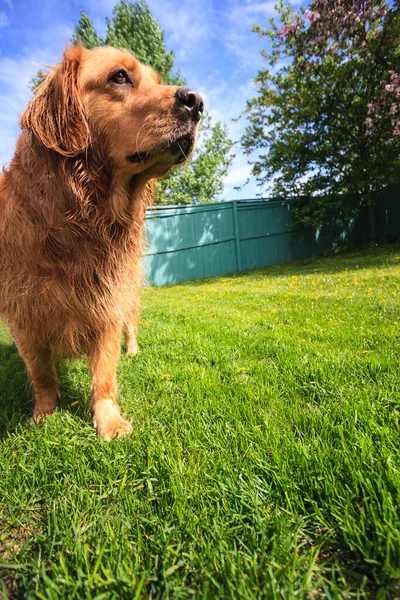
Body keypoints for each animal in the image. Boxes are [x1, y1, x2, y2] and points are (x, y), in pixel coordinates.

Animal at [0, 44, 205, 438]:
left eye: (156, 80)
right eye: (119, 77)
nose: (197, 102)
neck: (80, 217)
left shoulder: (106, 302)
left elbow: (105, 373)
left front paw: (108, 419)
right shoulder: (24, 313)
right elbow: (41, 372)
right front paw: (44, 413)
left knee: (131, 325)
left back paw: (133, 349)